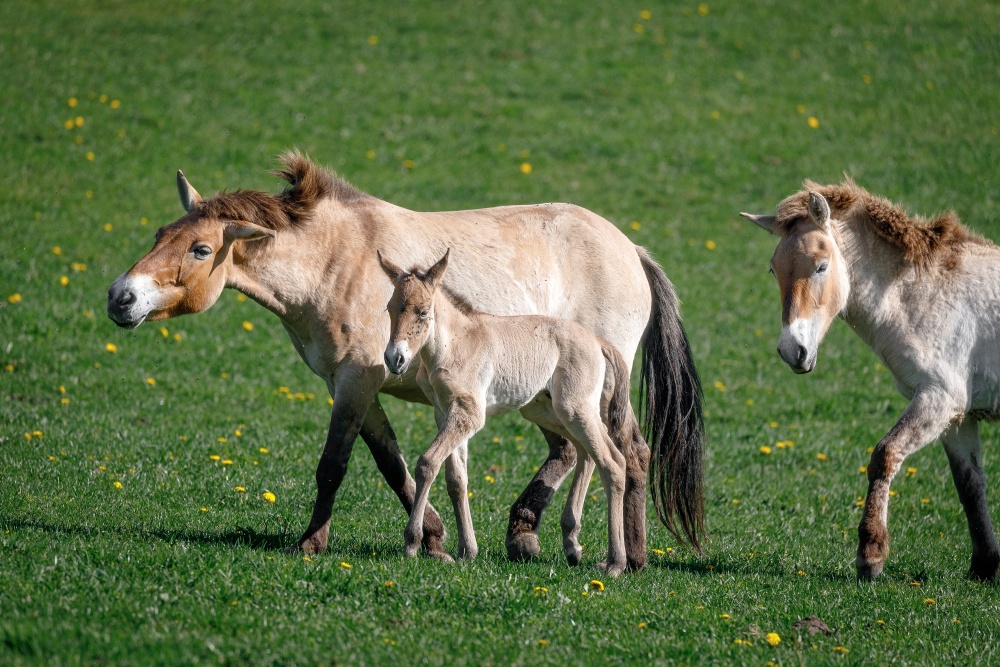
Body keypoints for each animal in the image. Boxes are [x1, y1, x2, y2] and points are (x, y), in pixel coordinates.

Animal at [378, 250, 644, 576]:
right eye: (390, 308)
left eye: (423, 312)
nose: (395, 359)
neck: (455, 344)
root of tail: (597, 342)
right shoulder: (444, 412)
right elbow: (456, 479)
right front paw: (467, 551)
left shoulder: (469, 413)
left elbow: (427, 463)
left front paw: (413, 543)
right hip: (548, 411)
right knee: (586, 453)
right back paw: (572, 544)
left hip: (575, 408)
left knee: (612, 462)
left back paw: (615, 563)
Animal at [744, 180, 1000, 580]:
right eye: (774, 270)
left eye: (821, 266)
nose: (791, 350)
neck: (928, 295)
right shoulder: (958, 417)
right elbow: (970, 486)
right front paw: (985, 565)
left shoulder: (937, 399)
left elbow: (884, 455)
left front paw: (871, 554)